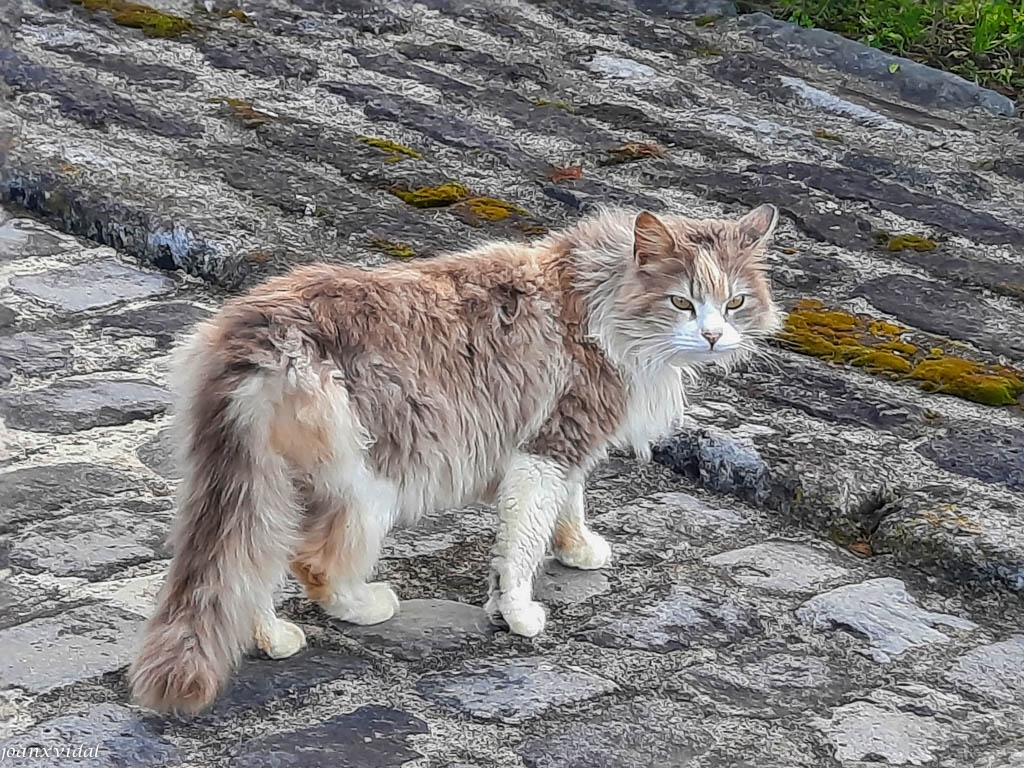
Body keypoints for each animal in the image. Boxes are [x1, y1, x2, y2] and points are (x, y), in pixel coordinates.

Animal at [130, 204, 782, 716]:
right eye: (682, 302)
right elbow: (522, 542)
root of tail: (261, 332)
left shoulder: (565, 442)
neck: (598, 298)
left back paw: (271, 637)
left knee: (253, 562)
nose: (714, 336)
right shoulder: (549, 444)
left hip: (269, 483)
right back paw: (367, 605)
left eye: (735, 302)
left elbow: (570, 503)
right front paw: (519, 612)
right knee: (311, 564)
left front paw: (577, 547)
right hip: (370, 482)